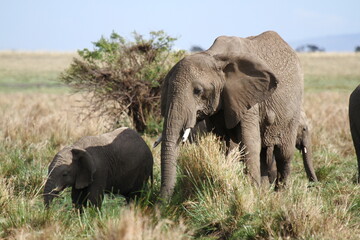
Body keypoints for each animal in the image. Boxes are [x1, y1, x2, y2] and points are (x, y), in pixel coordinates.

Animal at [160, 31, 304, 198]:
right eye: (166, 88)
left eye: (198, 91)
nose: (162, 202)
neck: (214, 56)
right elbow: (222, 142)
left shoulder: (249, 99)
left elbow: (250, 142)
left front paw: (251, 195)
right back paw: (264, 194)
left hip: (293, 110)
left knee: (284, 154)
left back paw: (281, 196)